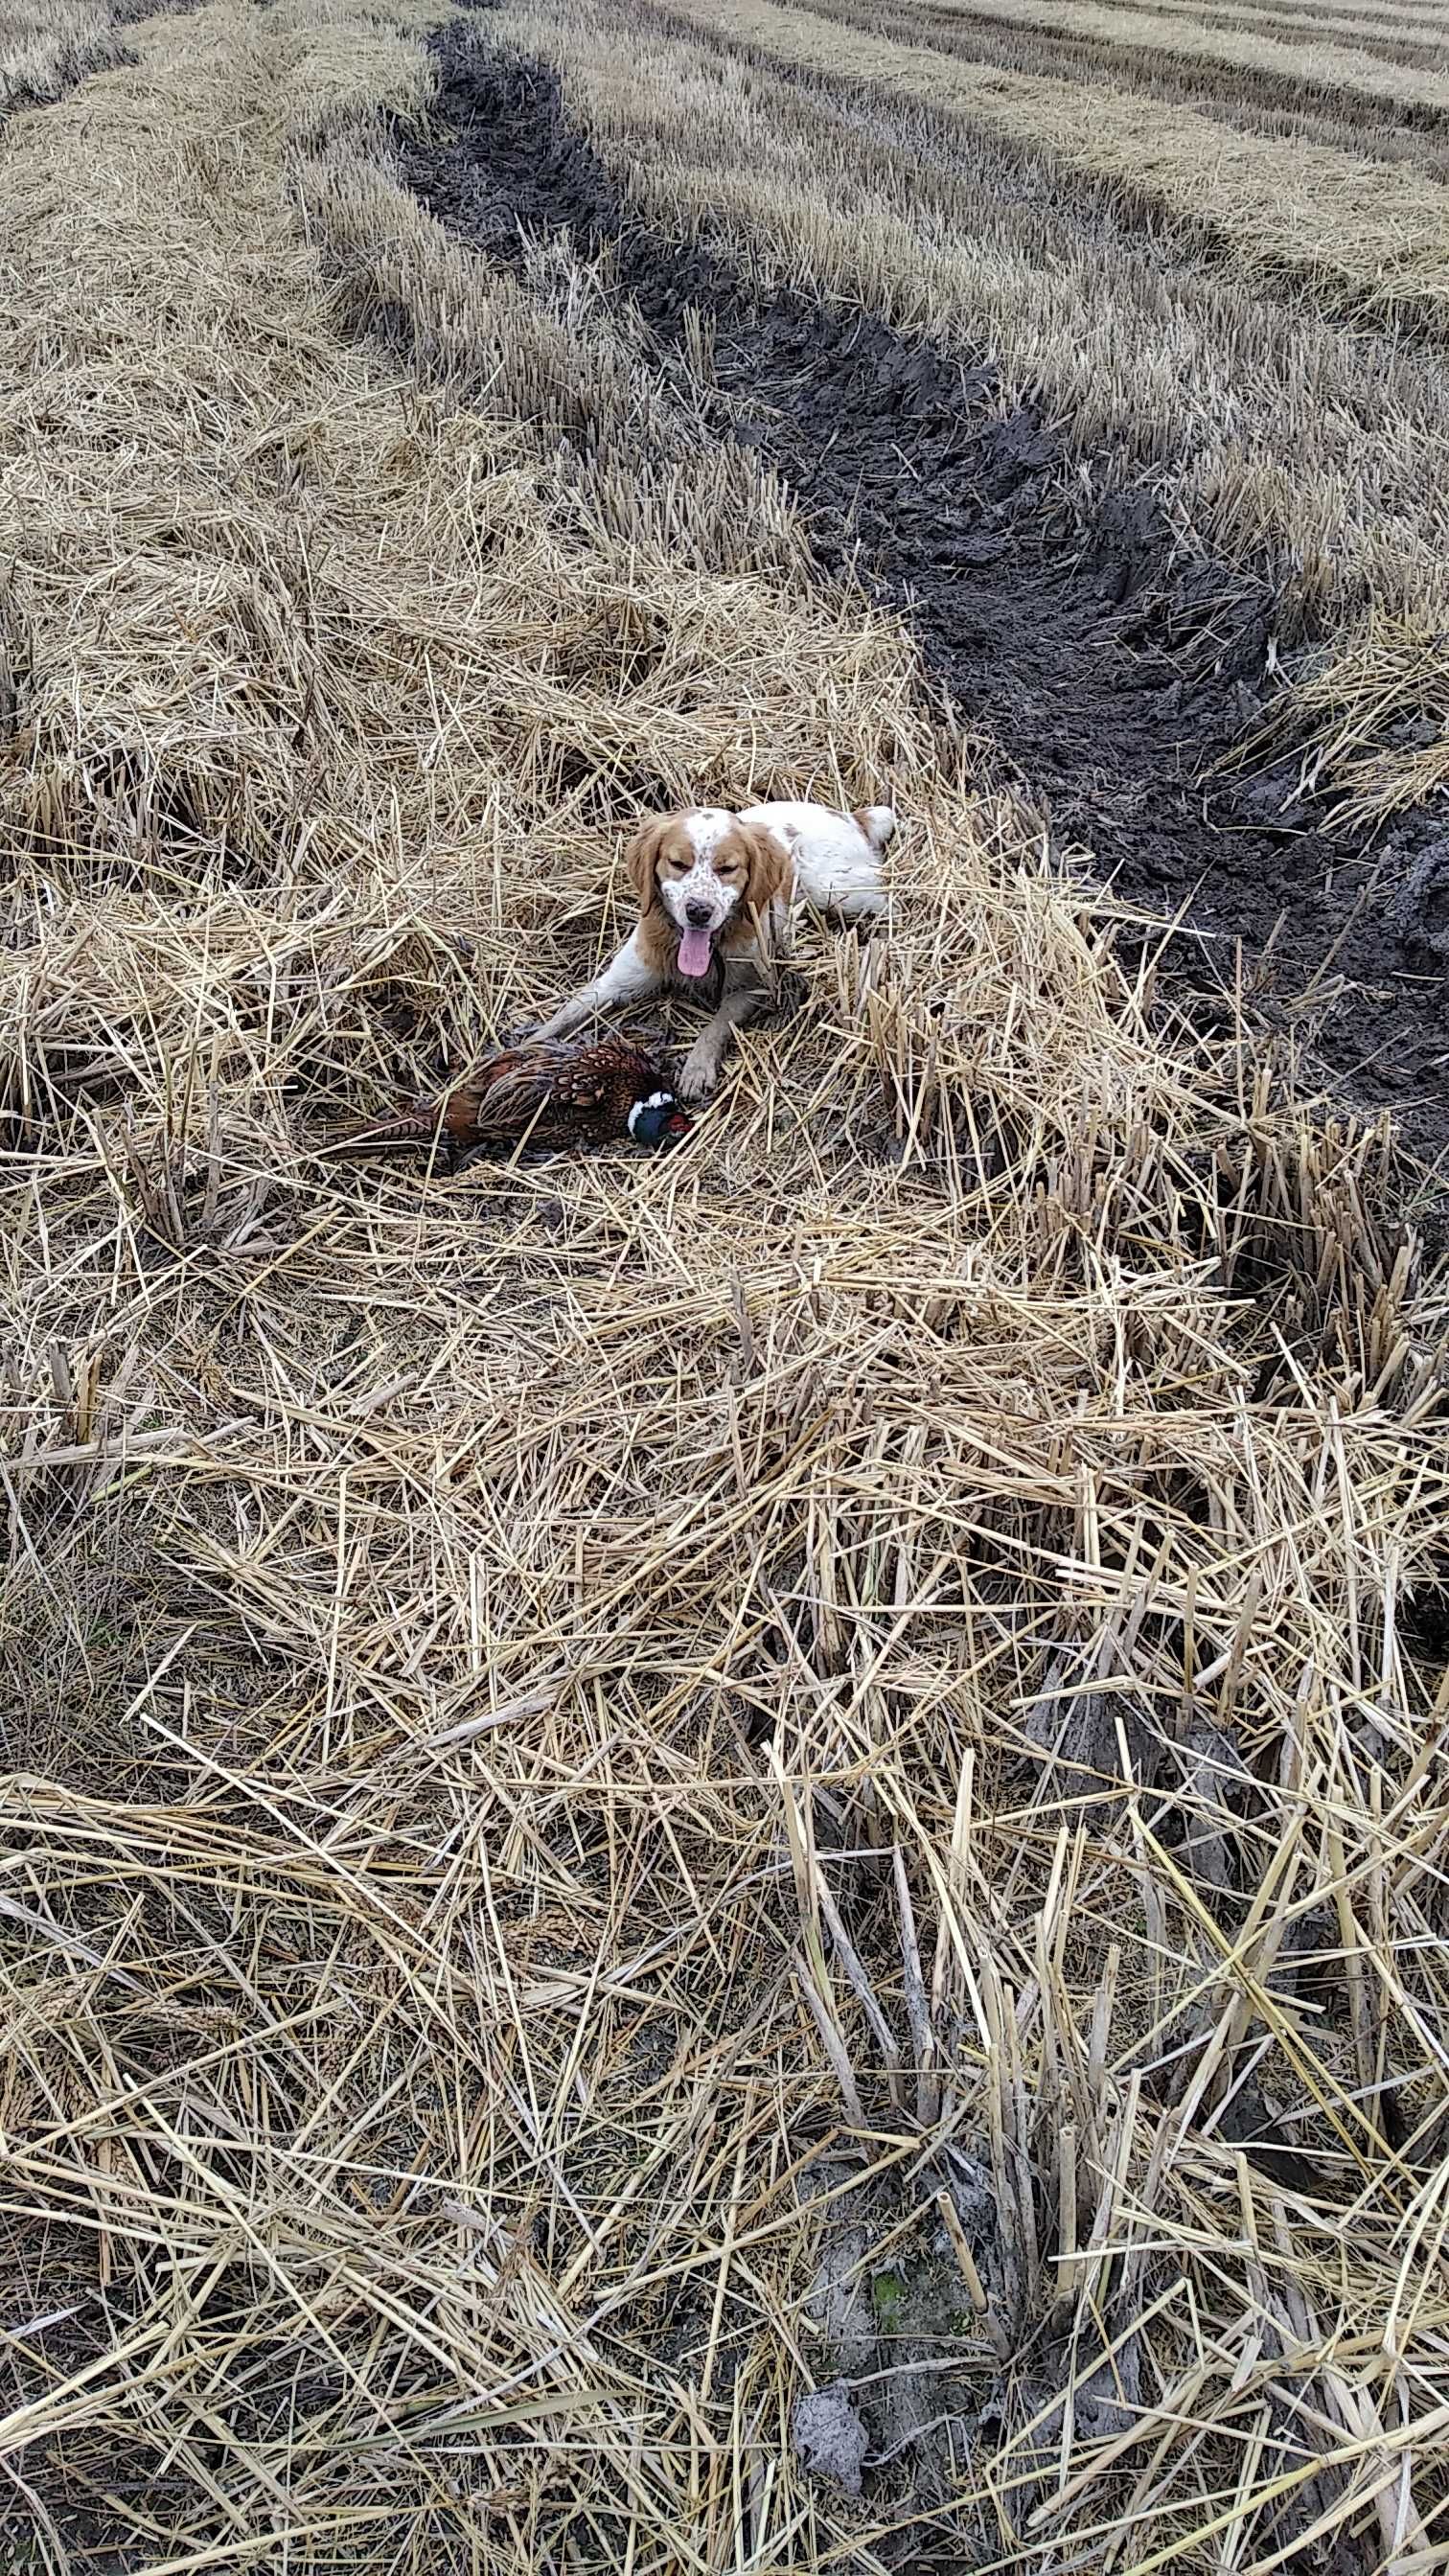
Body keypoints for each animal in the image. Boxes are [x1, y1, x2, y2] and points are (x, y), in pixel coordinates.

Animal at [531, 793, 891, 1097]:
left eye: (727, 868)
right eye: (678, 864)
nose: (699, 910)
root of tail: (851, 817)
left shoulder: (753, 988)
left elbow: (716, 1024)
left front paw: (696, 1069)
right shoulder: (617, 981)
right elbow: (566, 1013)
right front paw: (528, 1047)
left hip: (835, 889)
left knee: (889, 898)